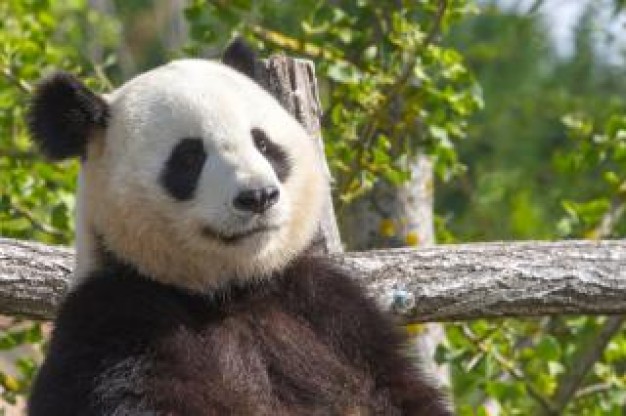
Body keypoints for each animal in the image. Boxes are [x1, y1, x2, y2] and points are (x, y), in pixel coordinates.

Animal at [25, 39, 448, 416]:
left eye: (262, 143)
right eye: (189, 157)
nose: (258, 196)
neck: (230, 291)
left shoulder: (334, 316)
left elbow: (399, 390)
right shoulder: (117, 324)